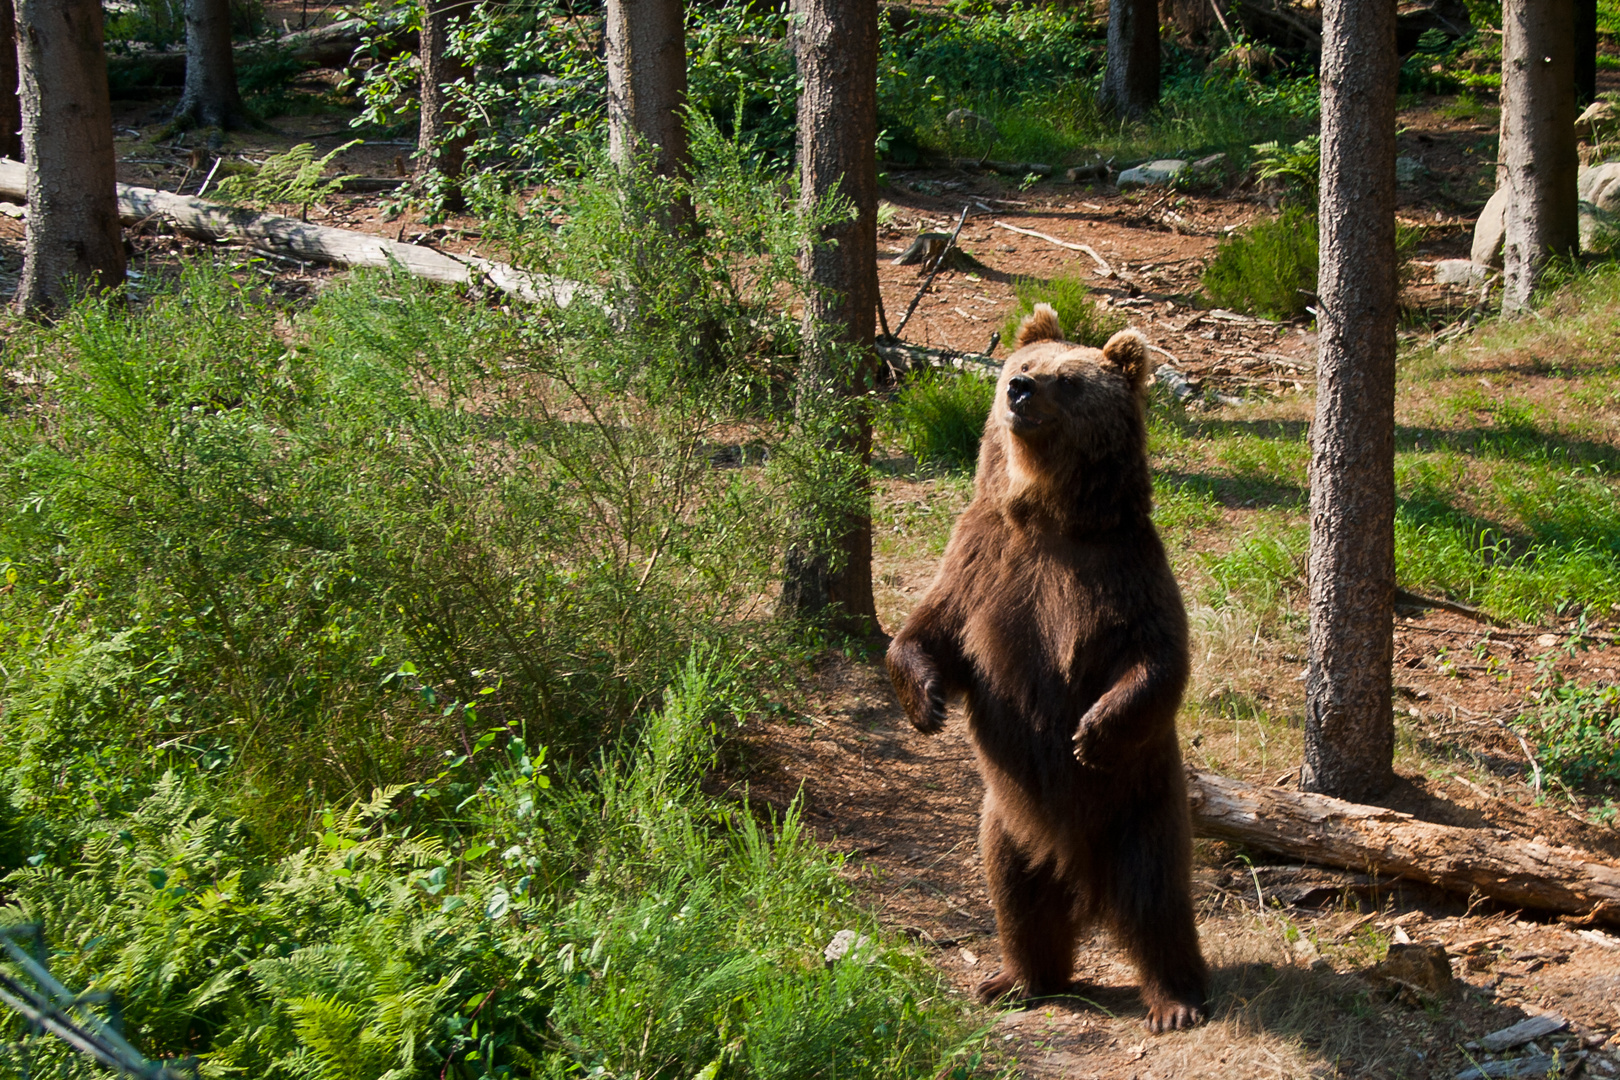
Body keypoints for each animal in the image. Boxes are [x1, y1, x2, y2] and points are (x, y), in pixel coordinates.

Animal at [887, 302, 1205, 1029]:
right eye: (1023, 363)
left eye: (1070, 379)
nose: (1019, 390)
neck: (1050, 514)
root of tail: (1080, 877)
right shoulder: (981, 563)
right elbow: (929, 629)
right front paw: (927, 702)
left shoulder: (1122, 573)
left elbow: (1158, 659)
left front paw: (1091, 732)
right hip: (1006, 822)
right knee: (1019, 898)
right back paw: (1016, 980)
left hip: (1141, 808)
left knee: (1156, 900)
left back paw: (1176, 998)